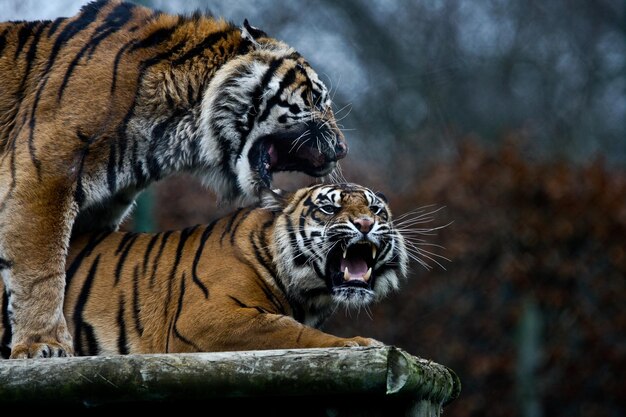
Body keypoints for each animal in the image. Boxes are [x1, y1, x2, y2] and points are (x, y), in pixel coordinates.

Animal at [0, 0, 346, 358]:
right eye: (317, 99)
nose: (342, 148)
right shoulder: (42, 175)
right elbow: (41, 272)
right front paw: (44, 344)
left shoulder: (96, 213)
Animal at [0, 182, 408, 354]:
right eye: (329, 208)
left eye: (375, 209)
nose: (366, 224)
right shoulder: (209, 318)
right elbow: (294, 332)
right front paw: (359, 343)